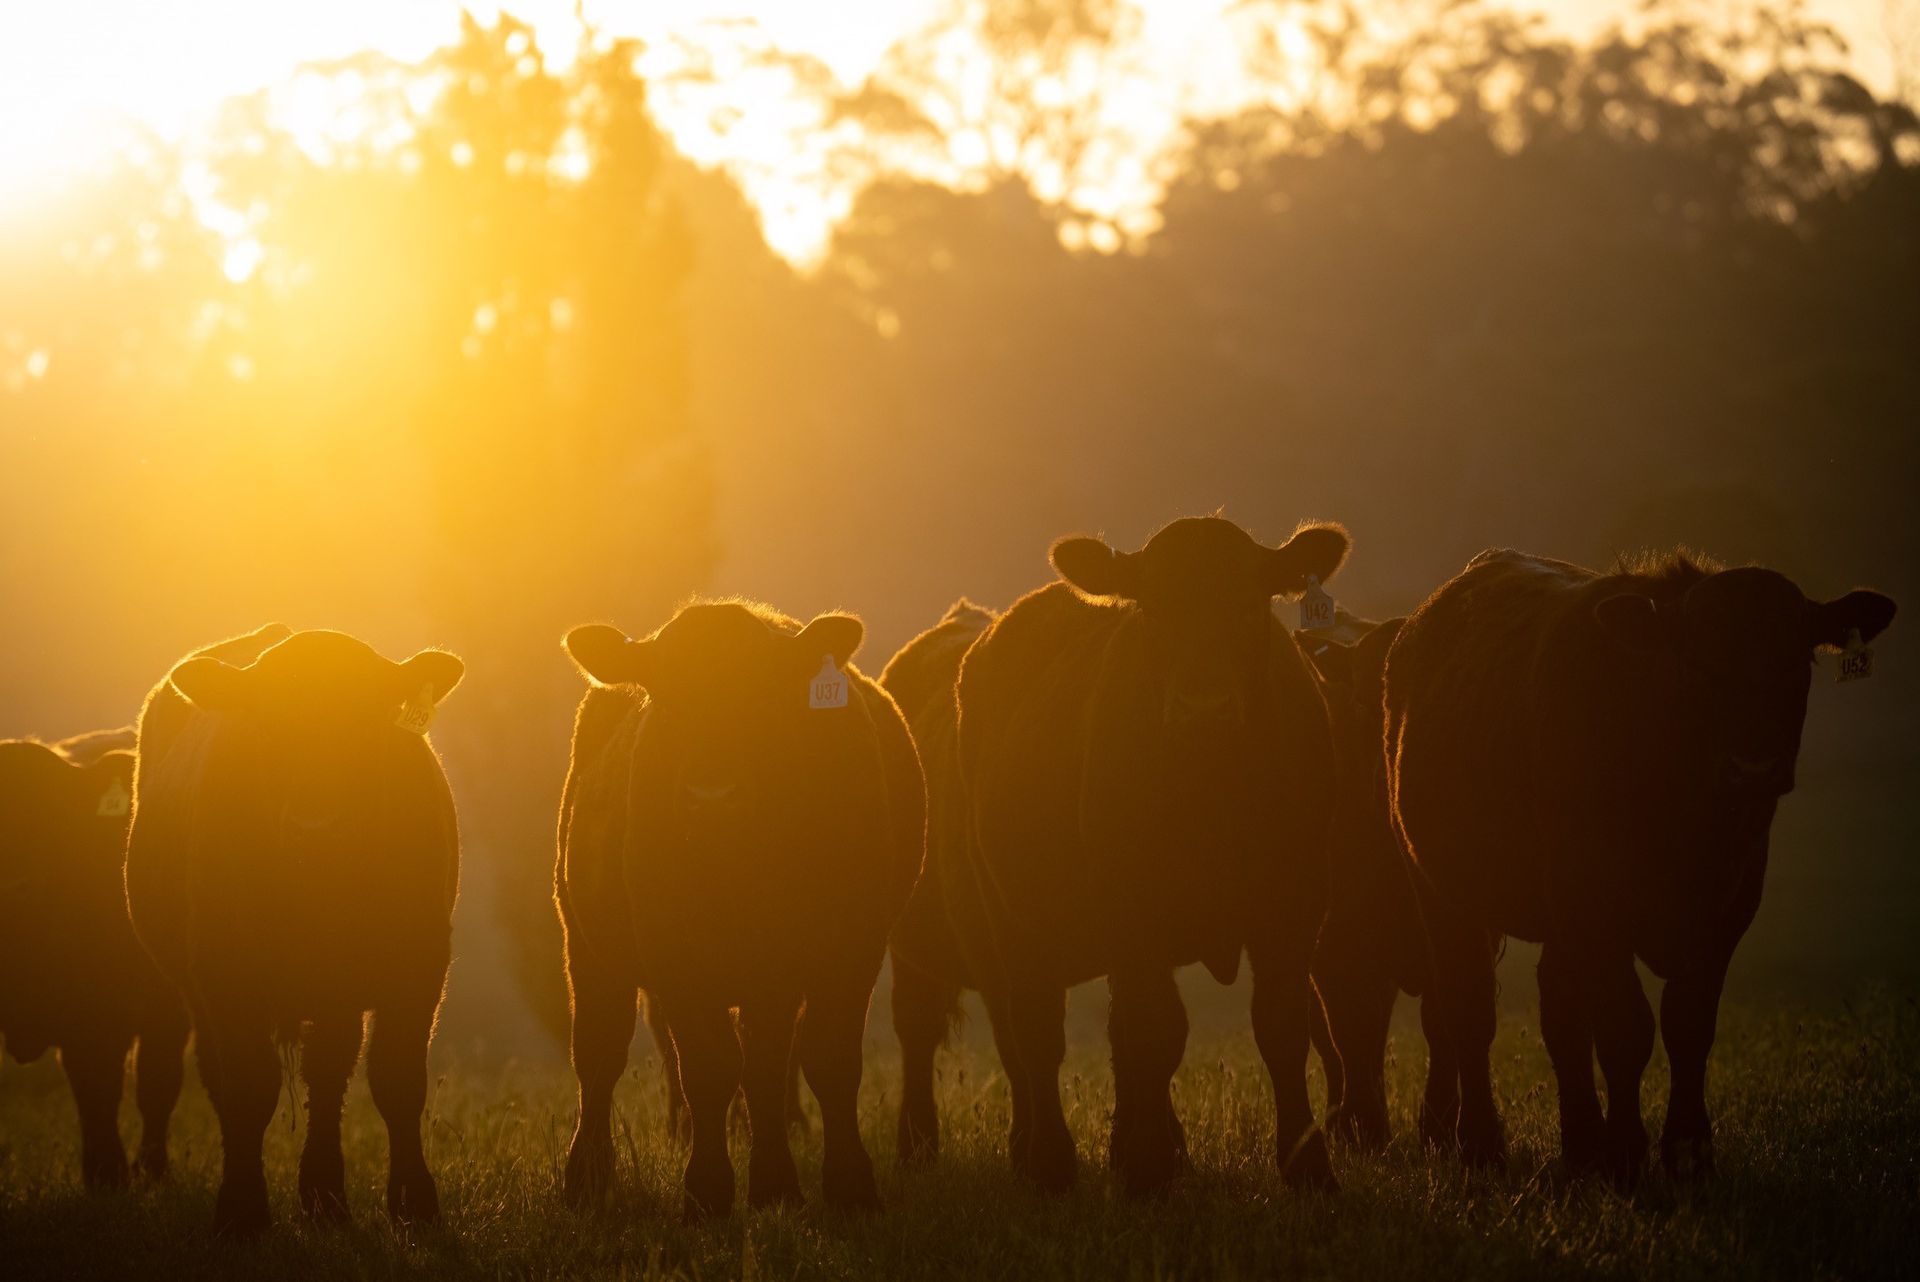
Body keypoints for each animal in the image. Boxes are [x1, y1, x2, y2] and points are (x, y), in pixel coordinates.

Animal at [126, 626, 464, 1235]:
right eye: (268, 726)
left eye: (366, 722)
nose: (317, 827)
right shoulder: (225, 975)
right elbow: (247, 1086)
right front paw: (241, 1210)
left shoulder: (420, 963)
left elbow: (397, 1080)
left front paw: (414, 1203)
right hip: (187, 985)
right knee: (221, 1077)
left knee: (328, 1074)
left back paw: (325, 1195)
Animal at [556, 600, 924, 1219]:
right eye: (667, 697)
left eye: (762, 697)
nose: (711, 797)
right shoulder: (674, 957)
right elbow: (709, 1068)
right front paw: (707, 1191)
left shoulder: (850, 948)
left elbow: (821, 1061)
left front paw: (832, 1186)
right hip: (585, 945)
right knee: (599, 1056)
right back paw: (585, 1179)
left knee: (766, 1063)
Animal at [890, 516, 1350, 1195]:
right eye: (1153, 609)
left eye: (1249, 606)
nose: (1203, 708)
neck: (1209, 795)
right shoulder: (1131, 908)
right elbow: (1156, 1030)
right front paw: (1149, 1169)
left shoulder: (1295, 902)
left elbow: (1282, 1026)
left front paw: (1308, 1166)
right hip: (999, 926)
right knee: (1007, 1033)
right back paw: (1014, 1157)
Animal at [1385, 549, 1897, 1183]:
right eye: (1697, 662)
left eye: (1798, 658)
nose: (1754, 767)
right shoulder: (1597, 906)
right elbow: (1625, 1030)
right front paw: (1627, 1152)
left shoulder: (1726, 912)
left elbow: (1687, 1026)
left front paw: (1687, 1149)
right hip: (1440, 889)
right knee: (1468, 1008)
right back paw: (1482, 1142)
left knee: (1560, 1013)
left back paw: (1581, 1144)